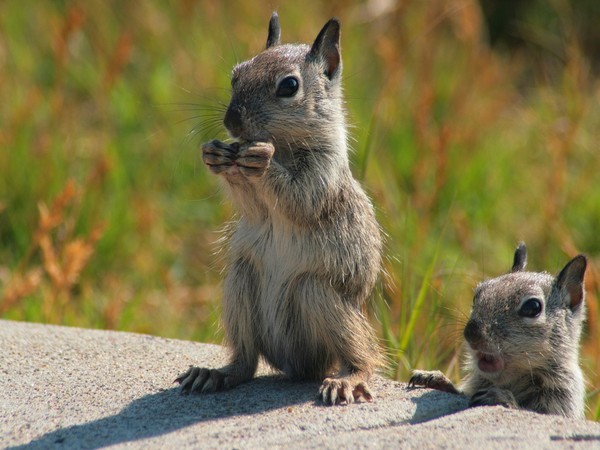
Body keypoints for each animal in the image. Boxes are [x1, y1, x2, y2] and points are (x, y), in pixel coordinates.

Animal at [177, 13, 384, 404]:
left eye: (289, 86)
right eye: (236, 74)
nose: (232, 122)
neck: (284, 144)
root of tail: (293, 367)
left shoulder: (322, 174)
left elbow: (299, 199)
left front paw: (262, 161)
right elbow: (255, 209)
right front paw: (215, 154)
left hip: (319, 295)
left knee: (362, 355)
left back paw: (346, 379)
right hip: (240, 284)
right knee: (245, 362)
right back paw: (214, 374)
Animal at [408, 243, 584, 418]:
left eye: (532, 307)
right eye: (476, 296)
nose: (472, 333)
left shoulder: (561, 399)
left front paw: (499, 397)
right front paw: (435, 378)